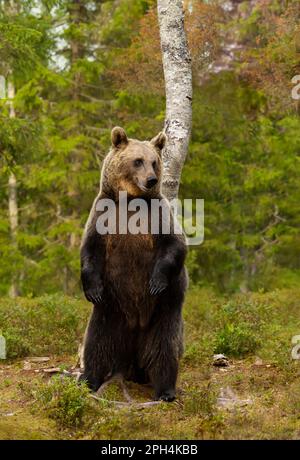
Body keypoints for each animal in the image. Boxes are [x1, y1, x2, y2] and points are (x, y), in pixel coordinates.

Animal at [79, 126, 188, 402]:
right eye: (137, 160)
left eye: (154, 162)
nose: (151, 179)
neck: (130, 200)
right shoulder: (102, 214)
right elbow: (89, 251)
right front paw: (92, 289)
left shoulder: (158, 215)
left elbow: (175, 245)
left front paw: (156, 282)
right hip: (110, 311)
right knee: (96, 345)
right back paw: (88, 379)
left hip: (163, 313)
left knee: (164, 348)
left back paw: (165, 390)